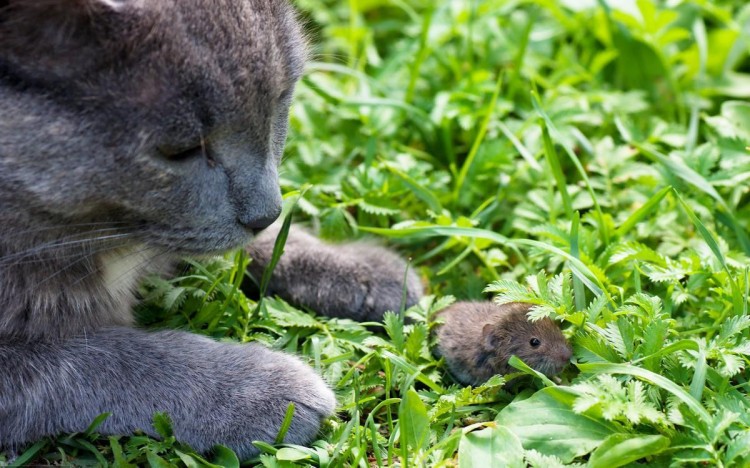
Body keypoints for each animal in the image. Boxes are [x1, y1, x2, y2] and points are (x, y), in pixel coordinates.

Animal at [0, 0, 424, 458]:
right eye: (181, 150)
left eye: (281, 99)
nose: (265, 211)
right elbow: (95, 360)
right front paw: (252, 391)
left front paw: (356, 268)